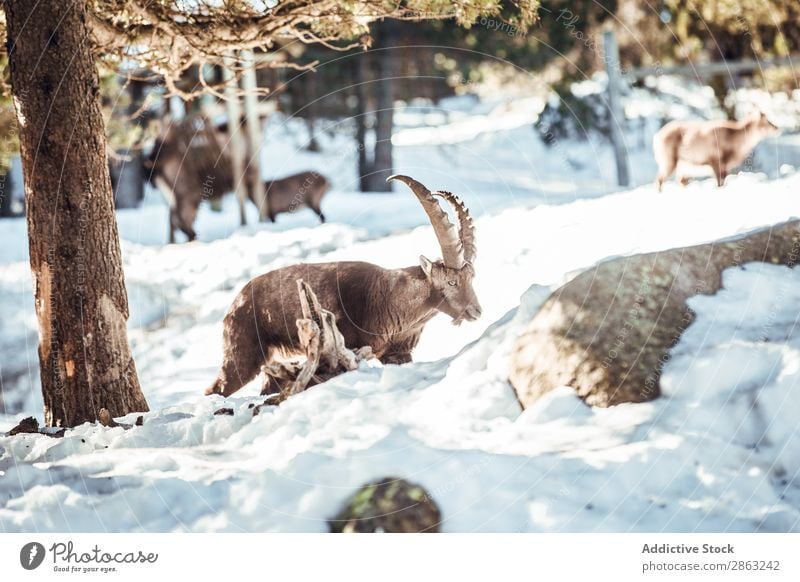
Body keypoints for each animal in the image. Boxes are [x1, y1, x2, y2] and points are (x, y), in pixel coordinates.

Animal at [206, 176, 482, 400]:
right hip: (242, 352)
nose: (476, 311)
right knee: (216, 388)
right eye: (451, 281)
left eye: (472, 277)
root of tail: (235, 303)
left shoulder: (397, 353)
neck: (388, 298)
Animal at [652, 110, 780, 190]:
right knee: (659, 179)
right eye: (767, 121)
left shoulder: (724, 168)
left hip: (685, 168)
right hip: (669, 161)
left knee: (680, 181)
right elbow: (719, 183)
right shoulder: (716, 161)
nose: (777, 128)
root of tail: (656, 137)